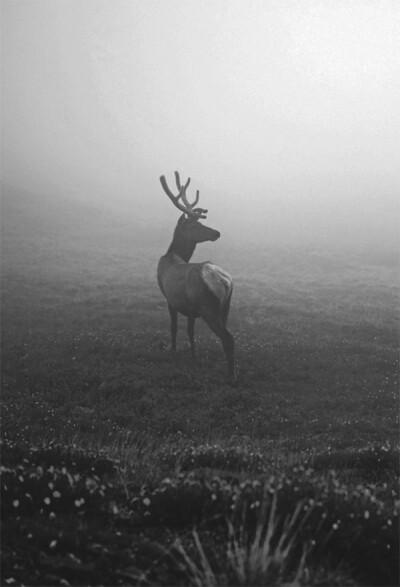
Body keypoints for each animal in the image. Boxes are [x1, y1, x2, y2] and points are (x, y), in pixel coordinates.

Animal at [158, 170, 236, 384]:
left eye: (199, 222)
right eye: (193, 225)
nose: (216, 232)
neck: (171, 255)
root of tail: (226, 282)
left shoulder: (169, 299)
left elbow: (173, 327)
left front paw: (174, 351)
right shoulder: (190, 309)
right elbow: (190, 331)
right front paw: (193, 355)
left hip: (210, 309)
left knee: (229, 338)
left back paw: (230, 375)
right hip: (225, 308)